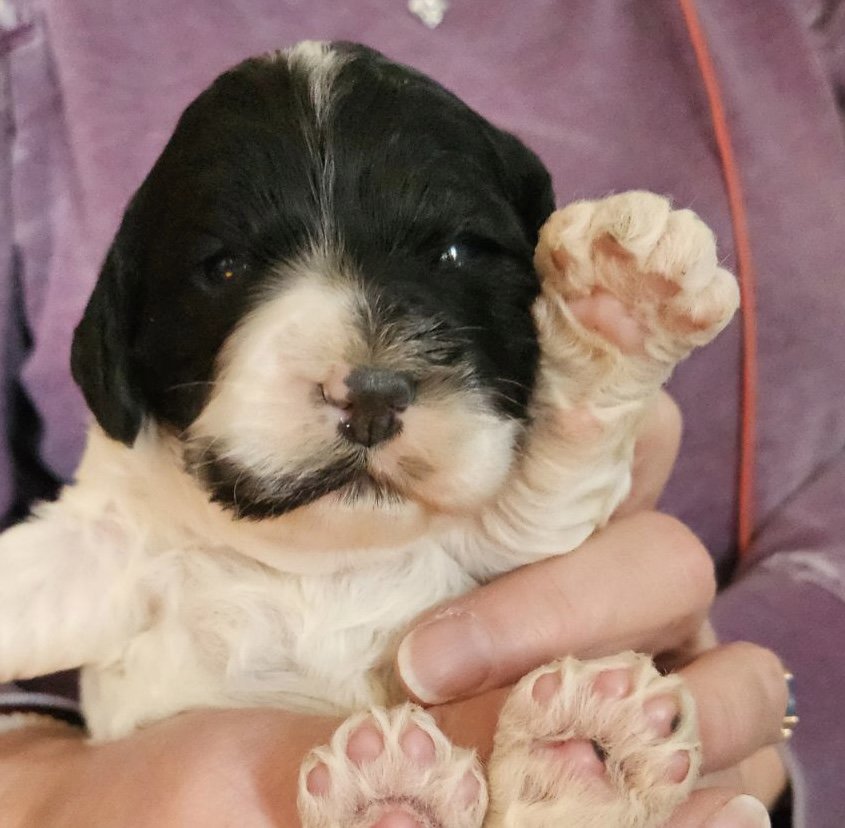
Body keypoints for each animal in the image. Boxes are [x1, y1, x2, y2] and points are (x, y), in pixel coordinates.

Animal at [0, 40, 736, 828]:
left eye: (456, 254)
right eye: (223, 267)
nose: (373, 396)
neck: (322, 561)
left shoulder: (509, 540)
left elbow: (566, 434)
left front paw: (624, 295)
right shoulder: (115, 546)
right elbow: (35, 578)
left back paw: (582, 757)